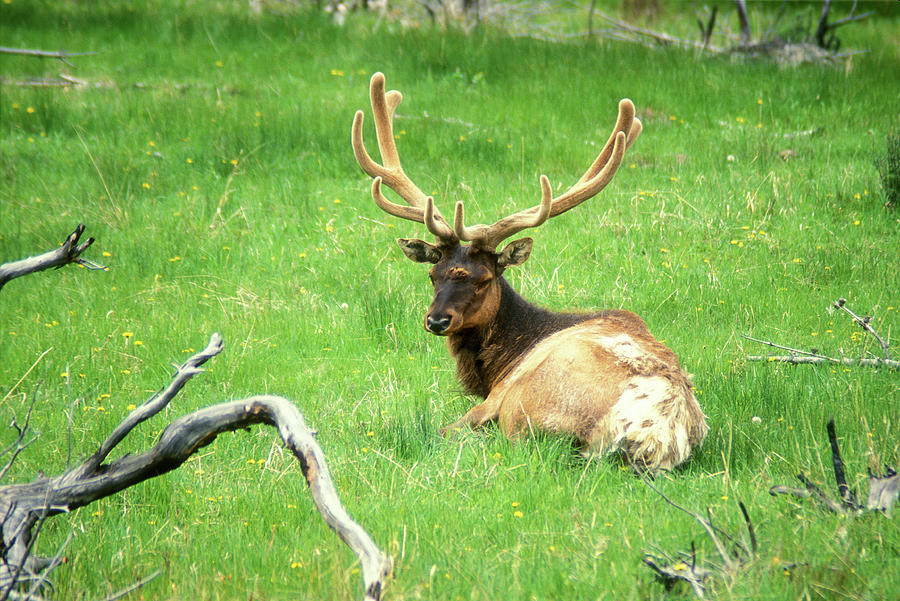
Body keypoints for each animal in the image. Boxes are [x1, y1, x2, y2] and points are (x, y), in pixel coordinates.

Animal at [352, 72, 712, 472]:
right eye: (433, 275)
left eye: (483, 279)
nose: (437, 320)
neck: (502, 360)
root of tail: (653, 435)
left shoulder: (498, 393)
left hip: (528, 409)